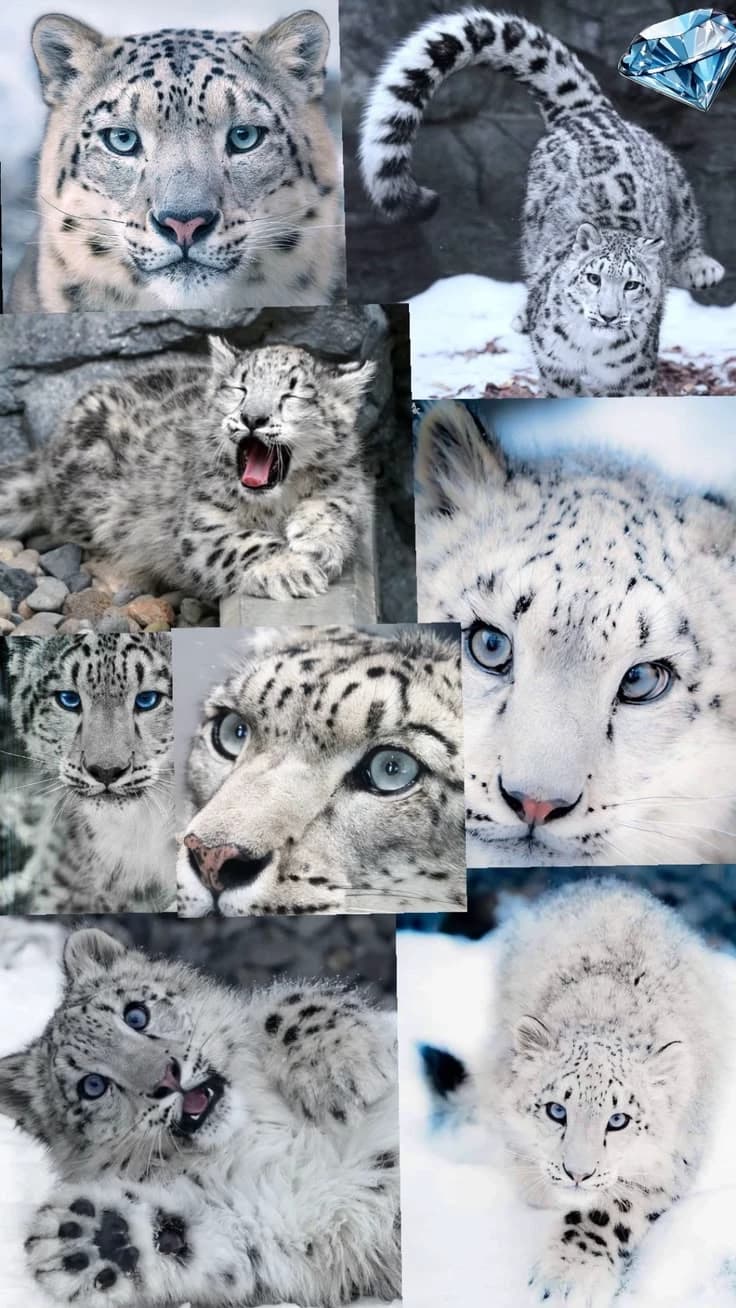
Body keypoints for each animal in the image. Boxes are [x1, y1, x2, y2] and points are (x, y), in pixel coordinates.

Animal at [0, 340, 374, 607]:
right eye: (239, 390)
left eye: (292, 395)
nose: (253, 418)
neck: (274, 503)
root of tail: (49, 447)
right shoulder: (200, 522)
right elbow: (242, 543)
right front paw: (290, 568)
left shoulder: (350, 484)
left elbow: (338, 506)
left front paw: (318, 544)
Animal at [0, 924, 401, 1307]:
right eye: (92, 1085)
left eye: (135, 1014)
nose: (167, 1078)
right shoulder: (283, 1224)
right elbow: (216, 1241)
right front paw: (94, 1238)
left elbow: (283, 1007)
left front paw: (341, 1070)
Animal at [359, 8, 725, 397]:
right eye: (593, 277)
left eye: (632, 285)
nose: (608, 314)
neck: (592, 349)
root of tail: (588, 113)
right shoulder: (556, 365)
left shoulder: (634, 376)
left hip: (676, 185)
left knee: (686, 222)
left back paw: (703, 268)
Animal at [420, 878, 724, 1307]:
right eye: (556, 1111)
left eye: (619, 1120)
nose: (577, 1173)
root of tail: (608, 884)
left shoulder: (671, 1161)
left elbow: (610, 1212)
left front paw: (570, 1276)